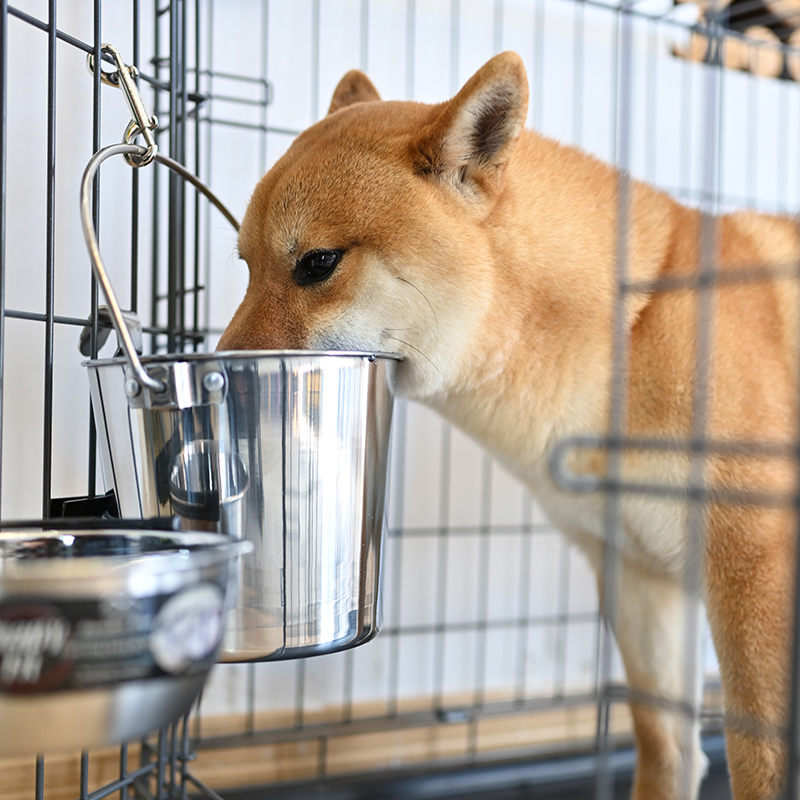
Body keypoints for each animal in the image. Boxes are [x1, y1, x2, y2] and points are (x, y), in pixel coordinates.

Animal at [219, 51, 800, 800]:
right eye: (245, 266)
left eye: (317, 263)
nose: (220, 368)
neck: (631, 328)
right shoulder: (640, 579)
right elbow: (667, 748)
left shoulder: (755, 575)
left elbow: (760, 762)